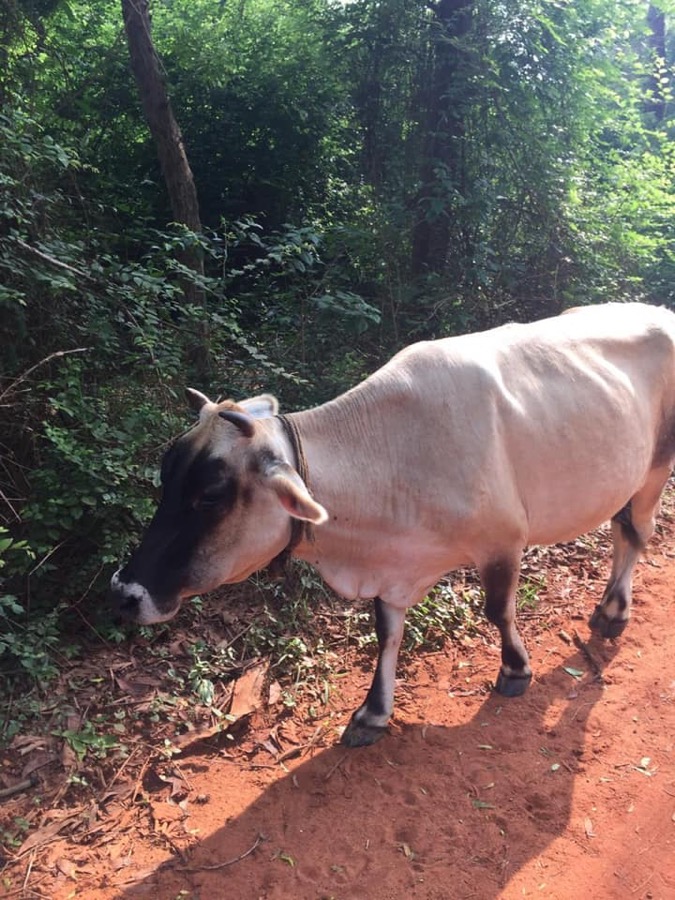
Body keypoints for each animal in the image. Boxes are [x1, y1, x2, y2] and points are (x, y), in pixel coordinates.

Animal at [109, 301, 675, 747]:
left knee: (635, 533)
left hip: (655, 467)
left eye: (210, 495)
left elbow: (498, 610)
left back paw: (614, 612)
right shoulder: (391, 565)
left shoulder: (503, 541)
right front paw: (373, 713)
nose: (125, 593)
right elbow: (387, 632)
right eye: (165, 476)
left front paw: (515, 669)